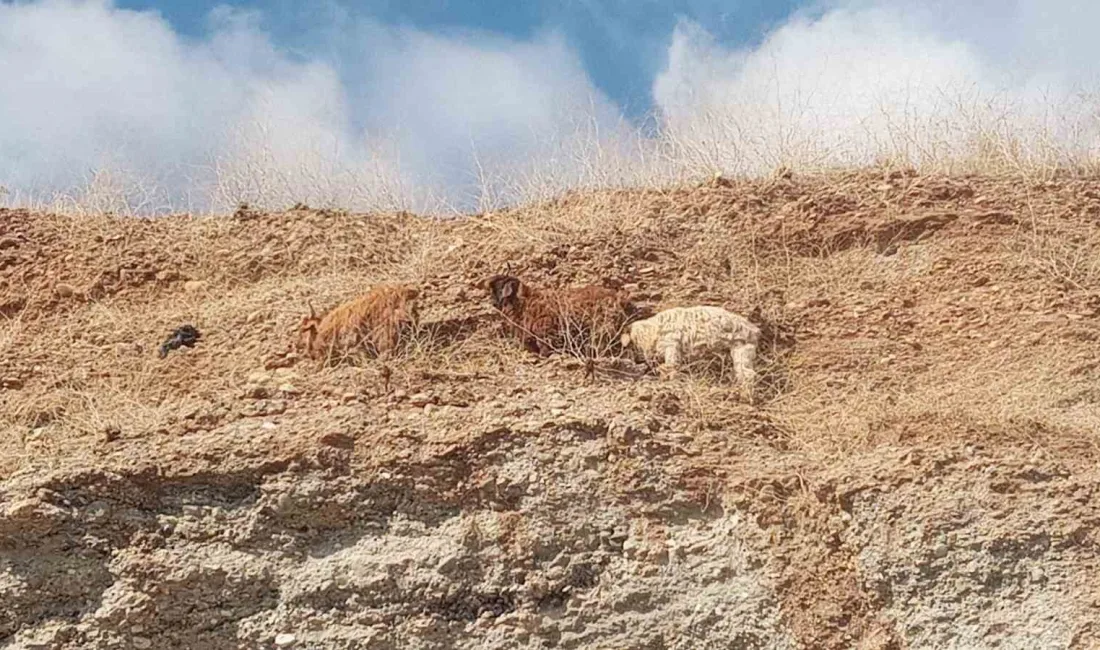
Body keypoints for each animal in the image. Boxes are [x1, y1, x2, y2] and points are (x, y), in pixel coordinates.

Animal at [624, 305, 761, 391]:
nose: (636, 361)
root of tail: (754, 331)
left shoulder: (672, 344)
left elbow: (671, 365)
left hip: (741, 348)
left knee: (748, 374)